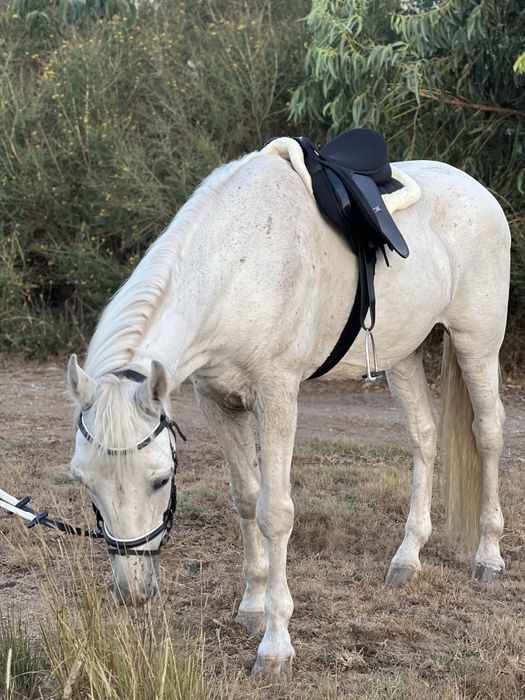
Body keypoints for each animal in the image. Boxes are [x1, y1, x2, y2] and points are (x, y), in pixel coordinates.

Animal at [67, 145, 510, 677]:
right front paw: (252, 607)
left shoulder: (277, 396)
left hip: (477, 343)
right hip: (402, 353)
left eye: (160, 479)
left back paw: (489, 556)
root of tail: (479, 191)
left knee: (488, 434)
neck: (237, 266)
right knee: (423, 435)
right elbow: (245, 499)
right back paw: (408, 557)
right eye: (85, 482)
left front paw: (275, 646)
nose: (133, 592)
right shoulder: (218, 402)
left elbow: (275, 512)